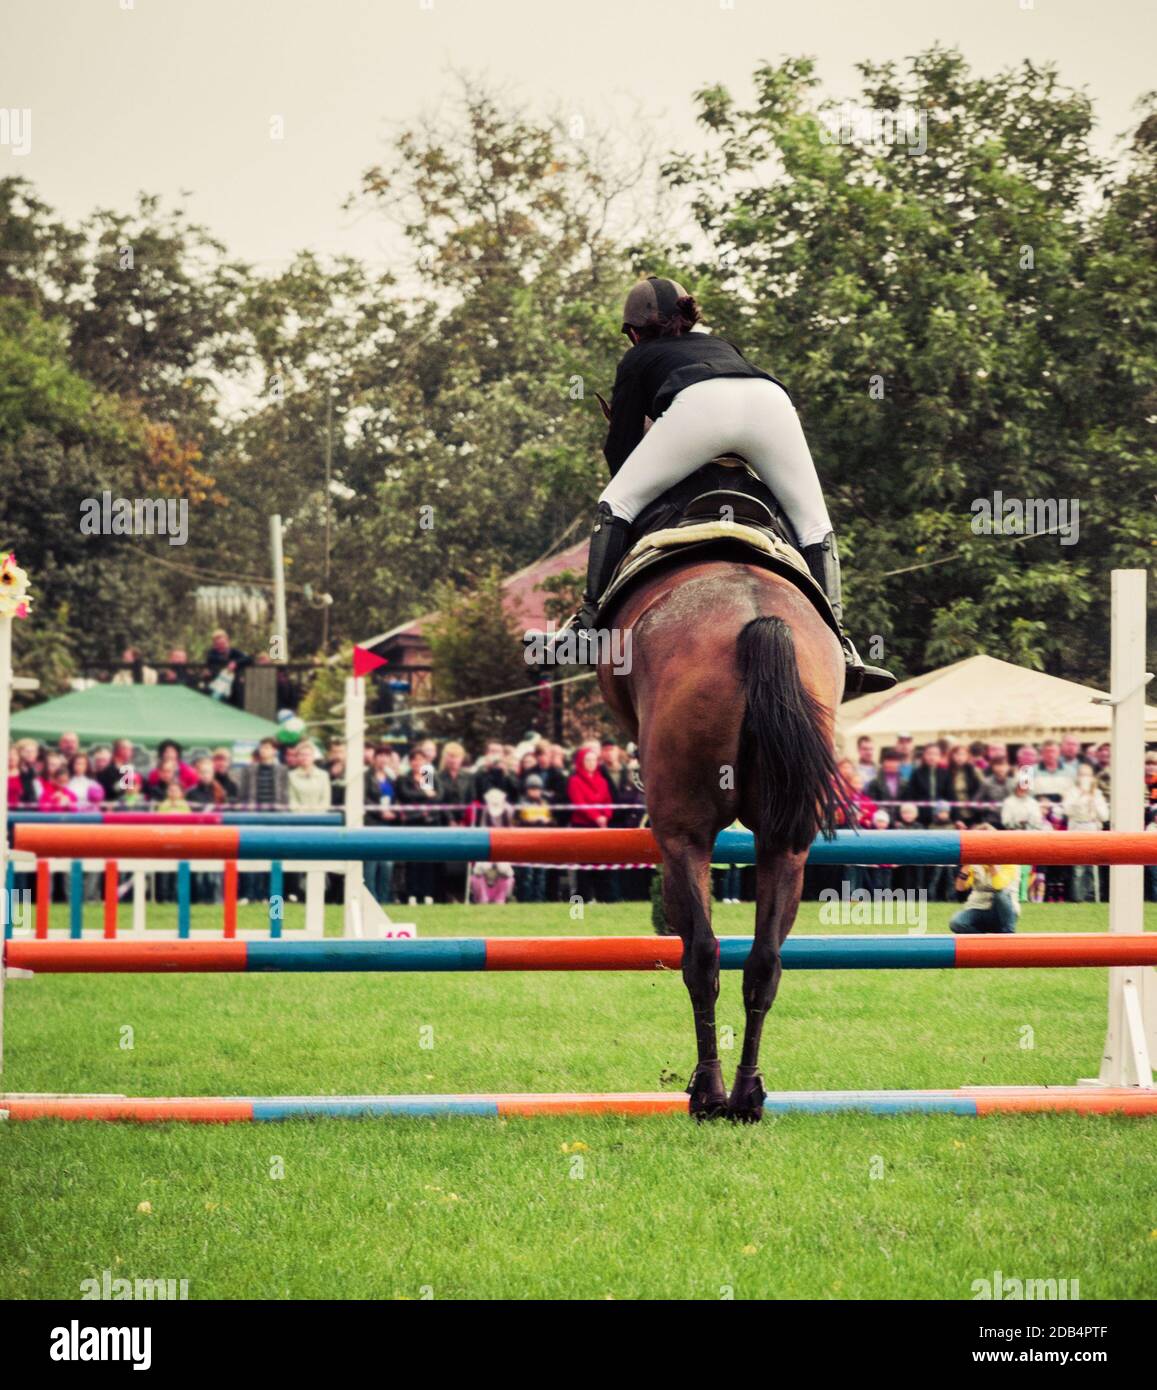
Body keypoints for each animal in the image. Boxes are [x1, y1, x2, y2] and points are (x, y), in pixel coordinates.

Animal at [598, 554, 850, 1120]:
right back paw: (747, 1094)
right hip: (786, 843)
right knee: (765, 960)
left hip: (682, 836)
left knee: (701, 954)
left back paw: (708, 1093)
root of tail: (758, 621)